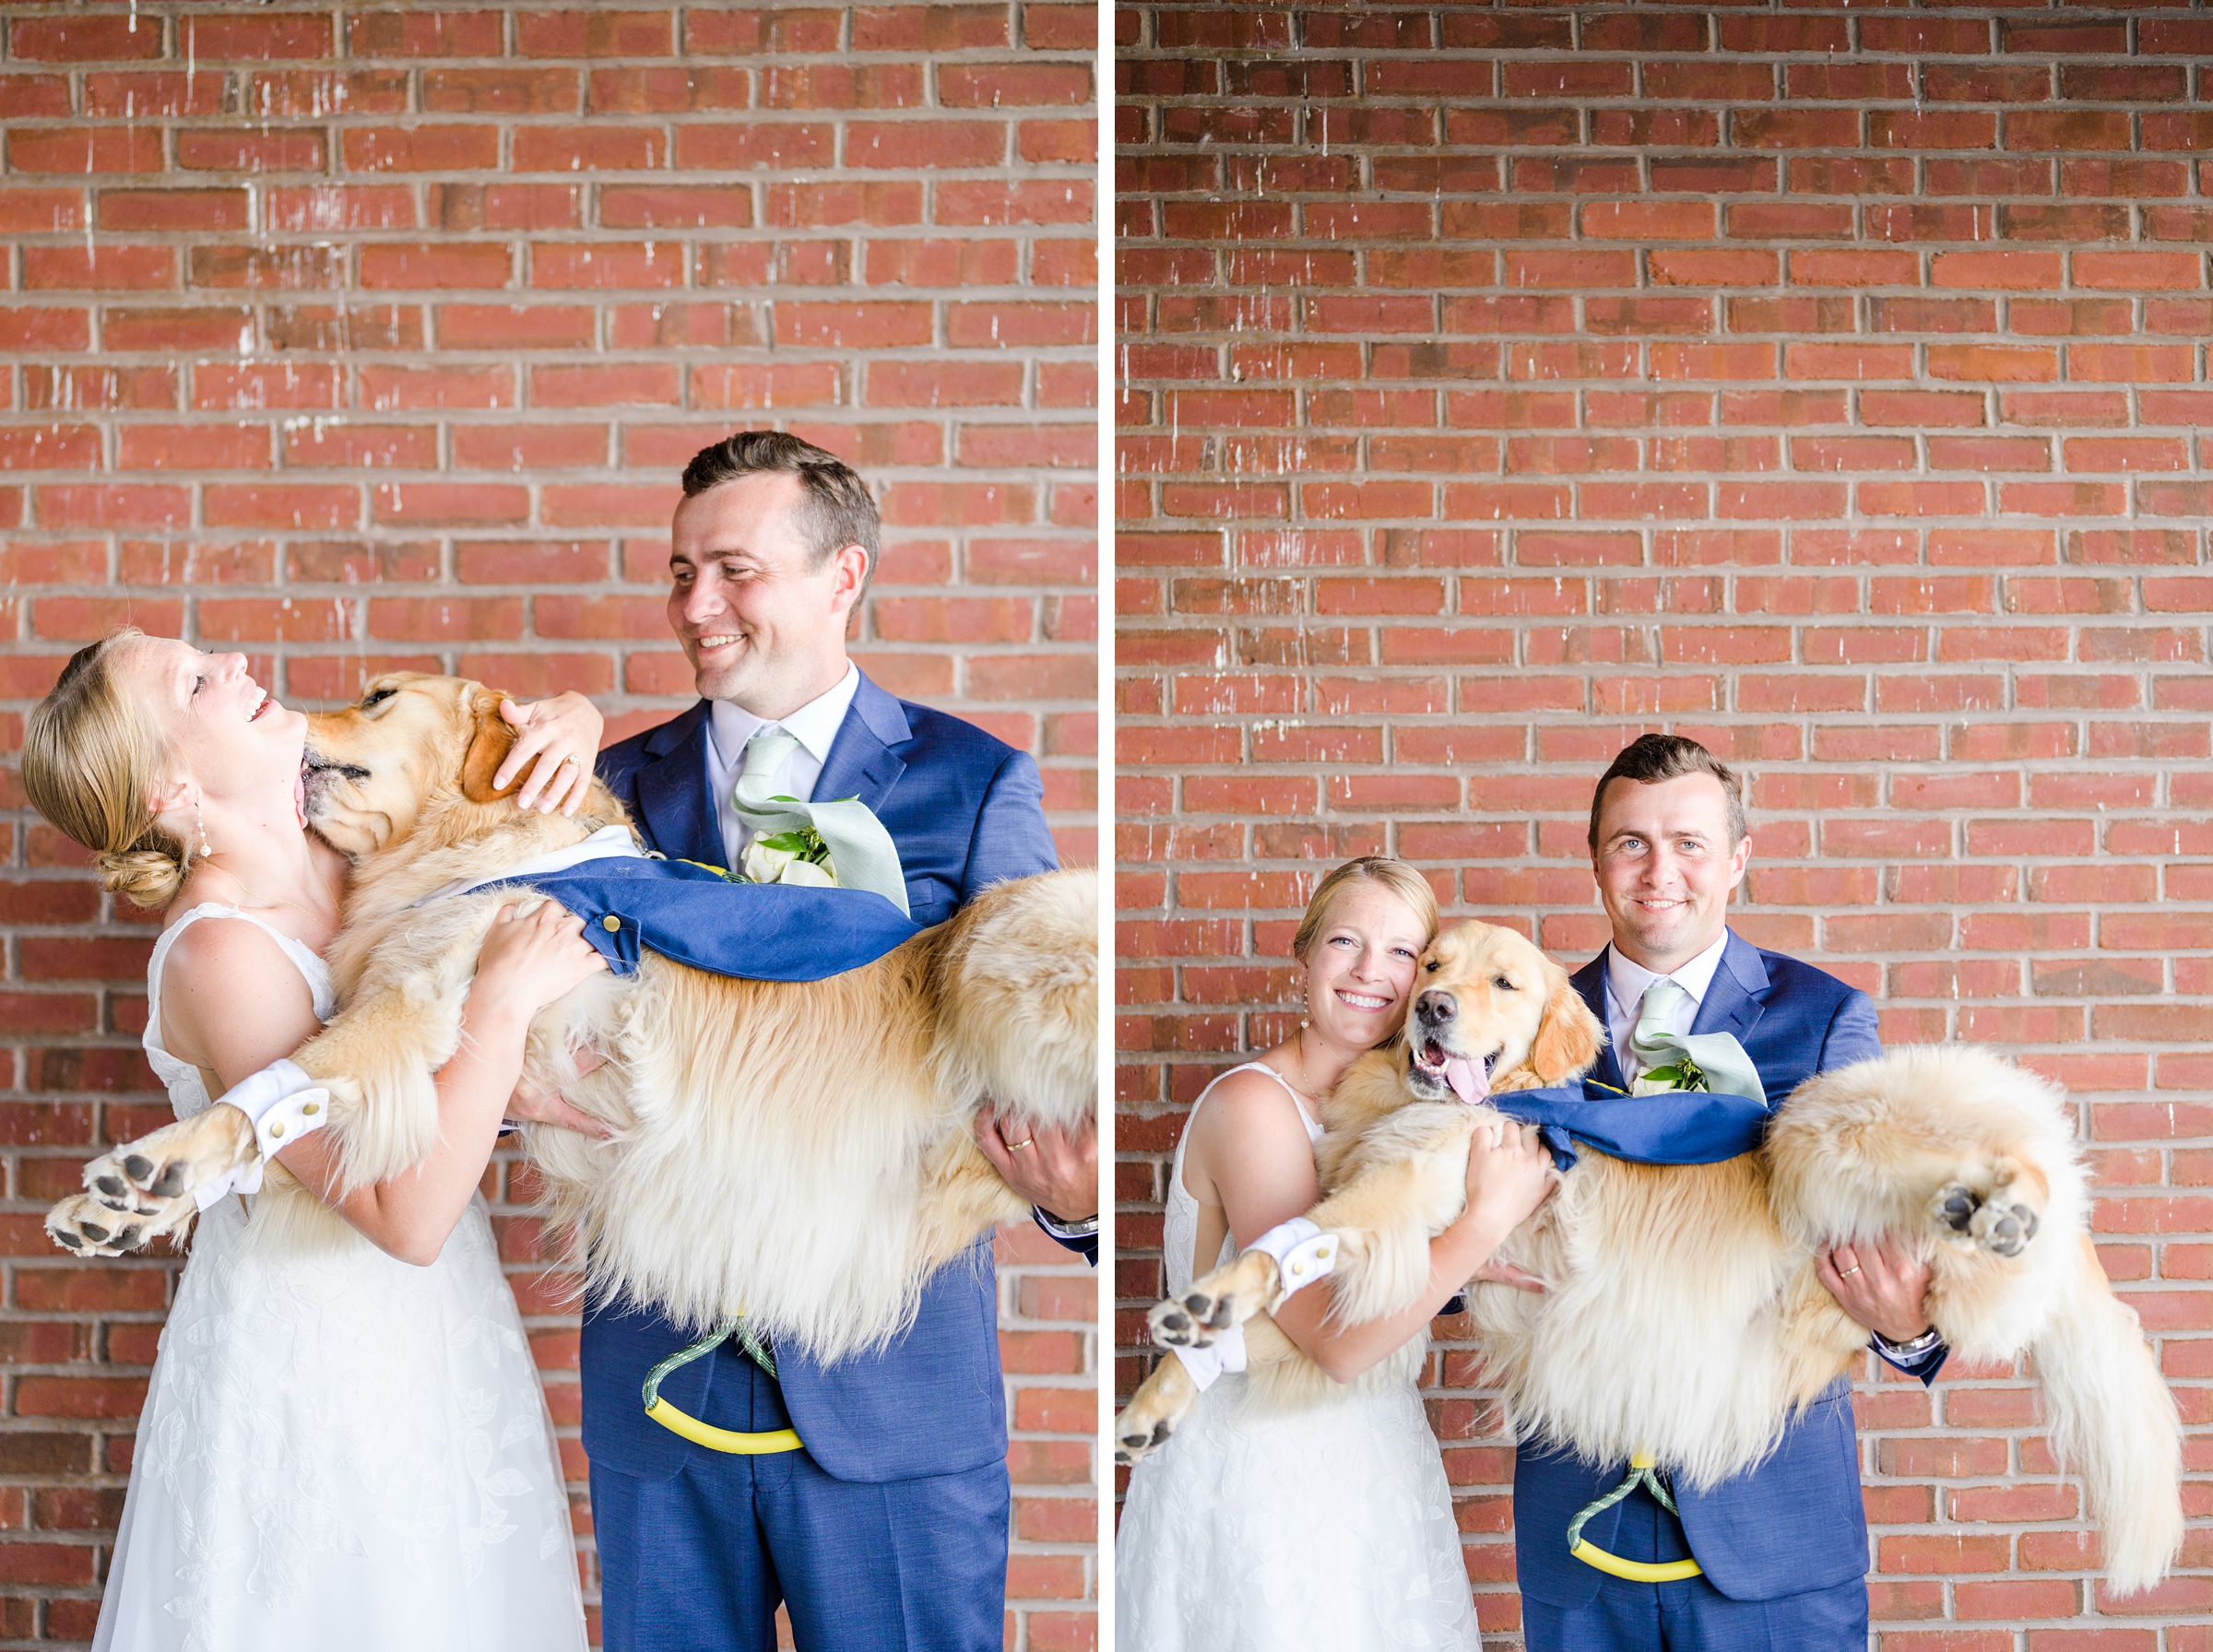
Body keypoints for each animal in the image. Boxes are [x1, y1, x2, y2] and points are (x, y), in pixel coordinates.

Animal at [42, 677, 1097, 1371]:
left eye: (378, 694)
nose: (283, 711)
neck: (479, 849)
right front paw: (126, 1207)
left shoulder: (417, 997)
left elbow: (272, 1089)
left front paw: (158, 1164)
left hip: (1006, 944)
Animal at [1115, 924, 2186, 1592]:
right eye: (1428, 963)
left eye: (1502, 983)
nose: (1431, 1010)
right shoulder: (1388, 1284)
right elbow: (1257, 1328)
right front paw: (1162, 1393)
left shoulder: (1398, 1199)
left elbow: (1278, 1250)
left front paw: (1208, 1298)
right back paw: (1980, 1217)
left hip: (1827, 1129)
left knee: (2020, 1180)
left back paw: (2002, 1203)